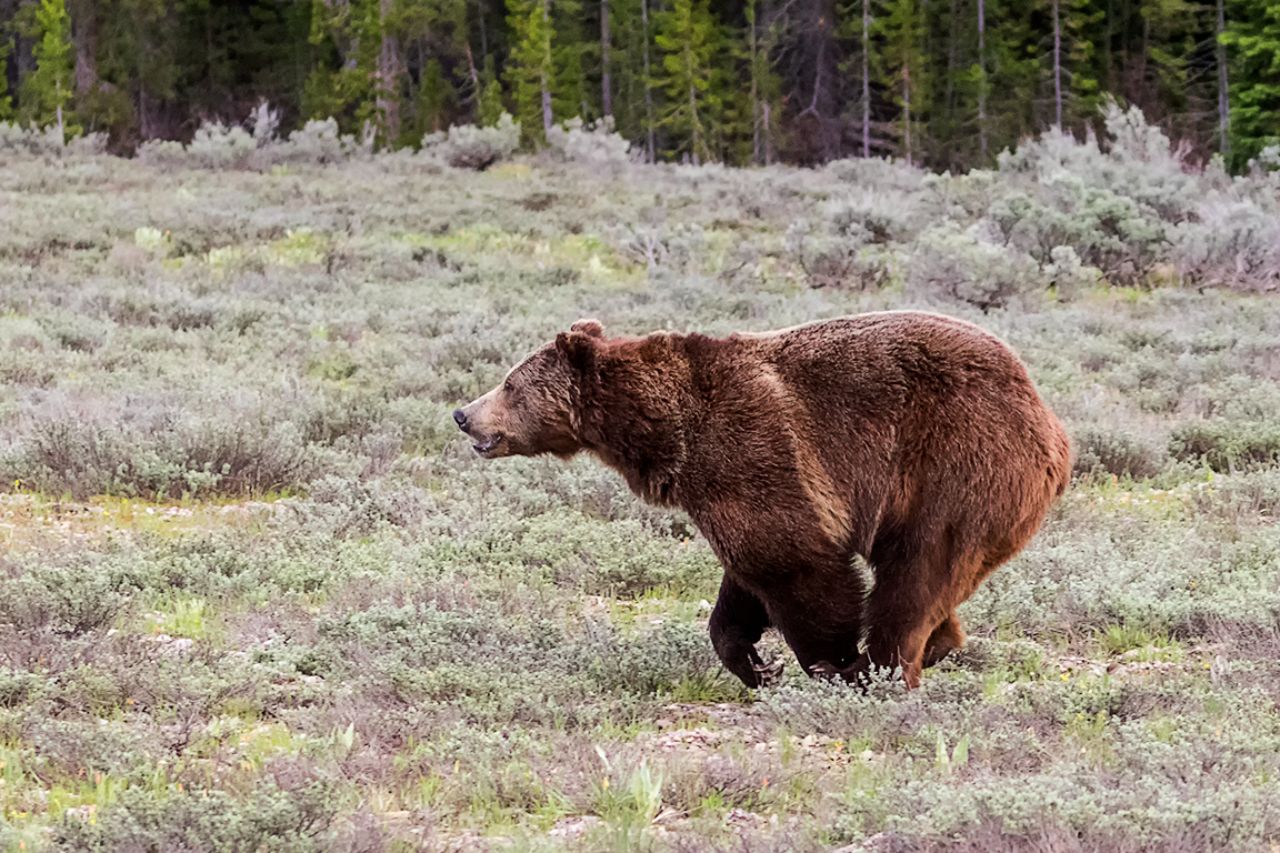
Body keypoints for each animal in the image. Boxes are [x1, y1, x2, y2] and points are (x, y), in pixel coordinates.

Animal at [453, 312, 1071, 688]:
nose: (463, 413)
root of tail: (1049, 421)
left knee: (918, 570)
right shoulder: (721, 486)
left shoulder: (751, 453)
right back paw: (936, 645)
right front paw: (755, 662)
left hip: (955, 469)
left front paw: (829, 662)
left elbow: (794, 564)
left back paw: (880, 667)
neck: (663, 430)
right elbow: (744, 585)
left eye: (510, 383)